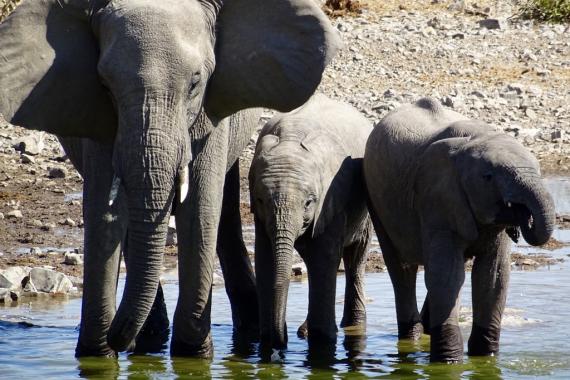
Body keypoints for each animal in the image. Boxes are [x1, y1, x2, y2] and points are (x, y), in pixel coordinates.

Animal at [0, 0, 340, 358]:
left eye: (195, 83)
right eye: (105, 85)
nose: (118, 338)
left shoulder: (211, 107)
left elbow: (200, 209)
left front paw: (192, 353)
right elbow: (104, 212)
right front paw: (97, 354)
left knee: (224, 208)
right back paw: (151, 333)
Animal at [246, 94, 370, 354]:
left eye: (309, 203)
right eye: (260, 200)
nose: (281, 343)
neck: (292, 138)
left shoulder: (332, 197)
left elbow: (324, 259)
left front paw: (322, 340)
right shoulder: (260, 215)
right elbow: (265, 259)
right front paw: (267, 339)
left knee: (355, 257)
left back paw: (350, 326)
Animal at [362, 97, 552, 362]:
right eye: (488, 177)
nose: (523, 219)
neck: (476, 139)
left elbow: (493, 276)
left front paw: (485, 358)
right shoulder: (437, 198)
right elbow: (448, 276)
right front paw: (448, 362)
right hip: (377, 200)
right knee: (402, 269)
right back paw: (411, 340)